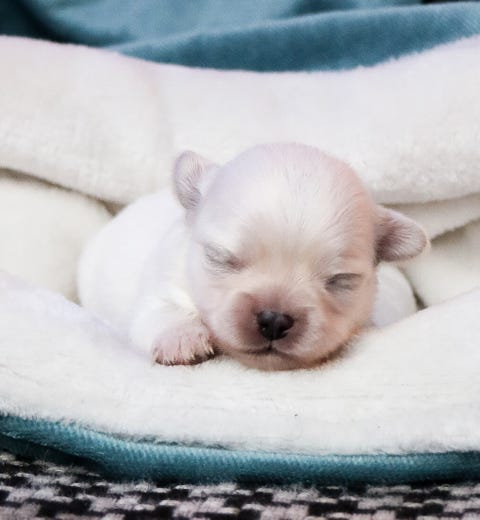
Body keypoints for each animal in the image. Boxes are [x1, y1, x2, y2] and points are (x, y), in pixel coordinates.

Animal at [78, 143, 428, 370]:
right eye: (220, 258)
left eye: (340, 280)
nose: (274, 319)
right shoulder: (163, 283)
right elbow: (160, 312)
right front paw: (183, 339)